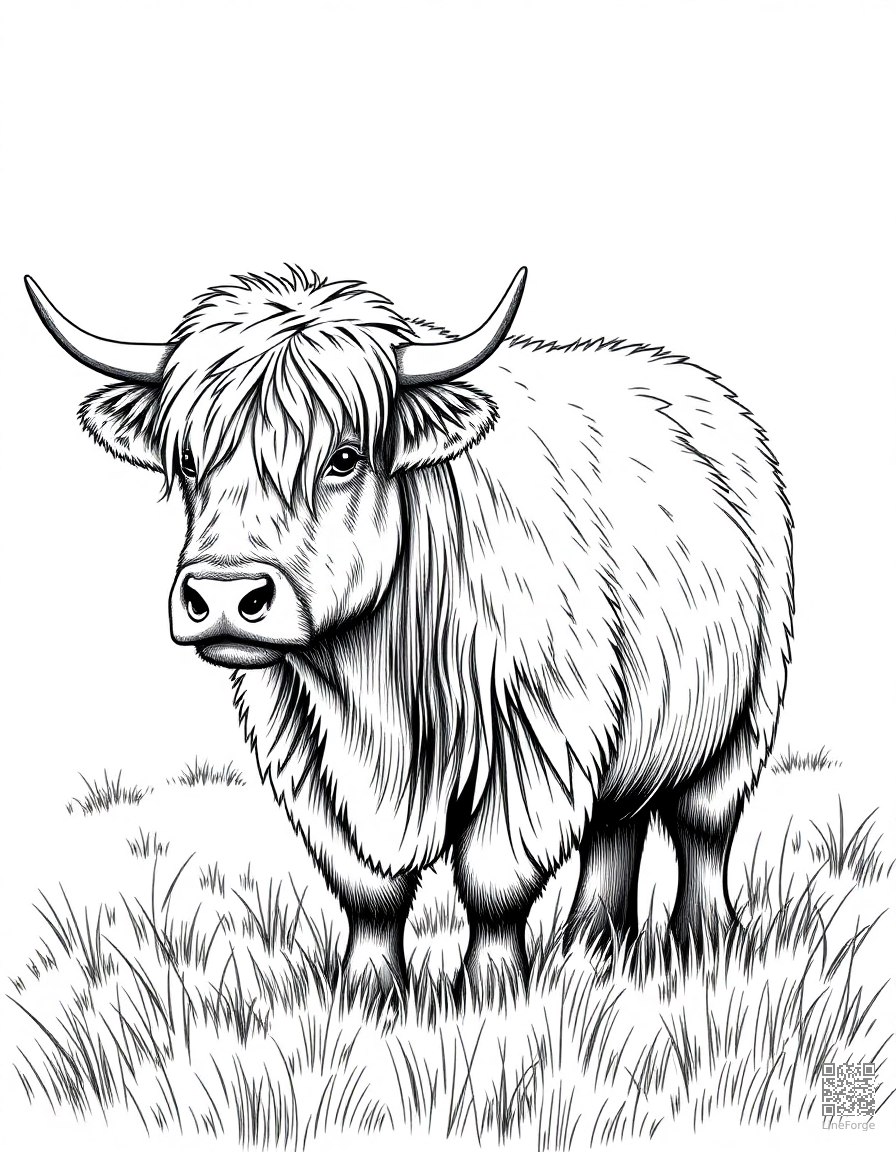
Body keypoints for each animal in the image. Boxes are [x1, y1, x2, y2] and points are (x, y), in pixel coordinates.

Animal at [25, 265, 793, 996]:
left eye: (343, 457)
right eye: (188, 462)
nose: (222, 594)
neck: (372, 678)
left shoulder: (543, 735)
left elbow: (495, 877)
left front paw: (493, 992)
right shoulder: (306, 752)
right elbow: (367, 887)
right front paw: (368, 994)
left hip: (746, 710)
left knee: (703, 827)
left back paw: (704, 941)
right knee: (616, 825)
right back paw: (591, 944)